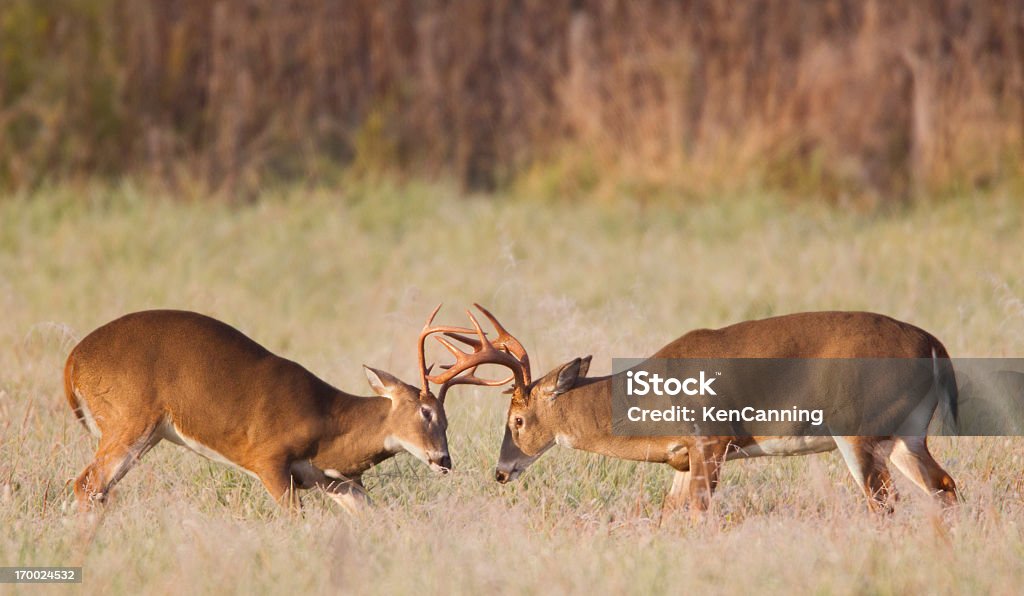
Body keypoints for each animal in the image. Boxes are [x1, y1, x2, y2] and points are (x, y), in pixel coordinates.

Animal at [64, 305, 483, 516]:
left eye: (448, 420)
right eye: (426, 413)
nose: (443, 460)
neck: (330, 422)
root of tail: (73, 362)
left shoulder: (335, 480)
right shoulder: (268, 459)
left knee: (95, 488)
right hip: (129, 421)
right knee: (86, 483)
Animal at [432, 305, 958, 516]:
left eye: (517, 421)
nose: (501, 472)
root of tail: (933, 344)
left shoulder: (712, 439)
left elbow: (700, 514)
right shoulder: (681, 459)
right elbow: (672, 516)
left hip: (860, 431)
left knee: (883, 502)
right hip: (908, 433)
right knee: (944, 487)